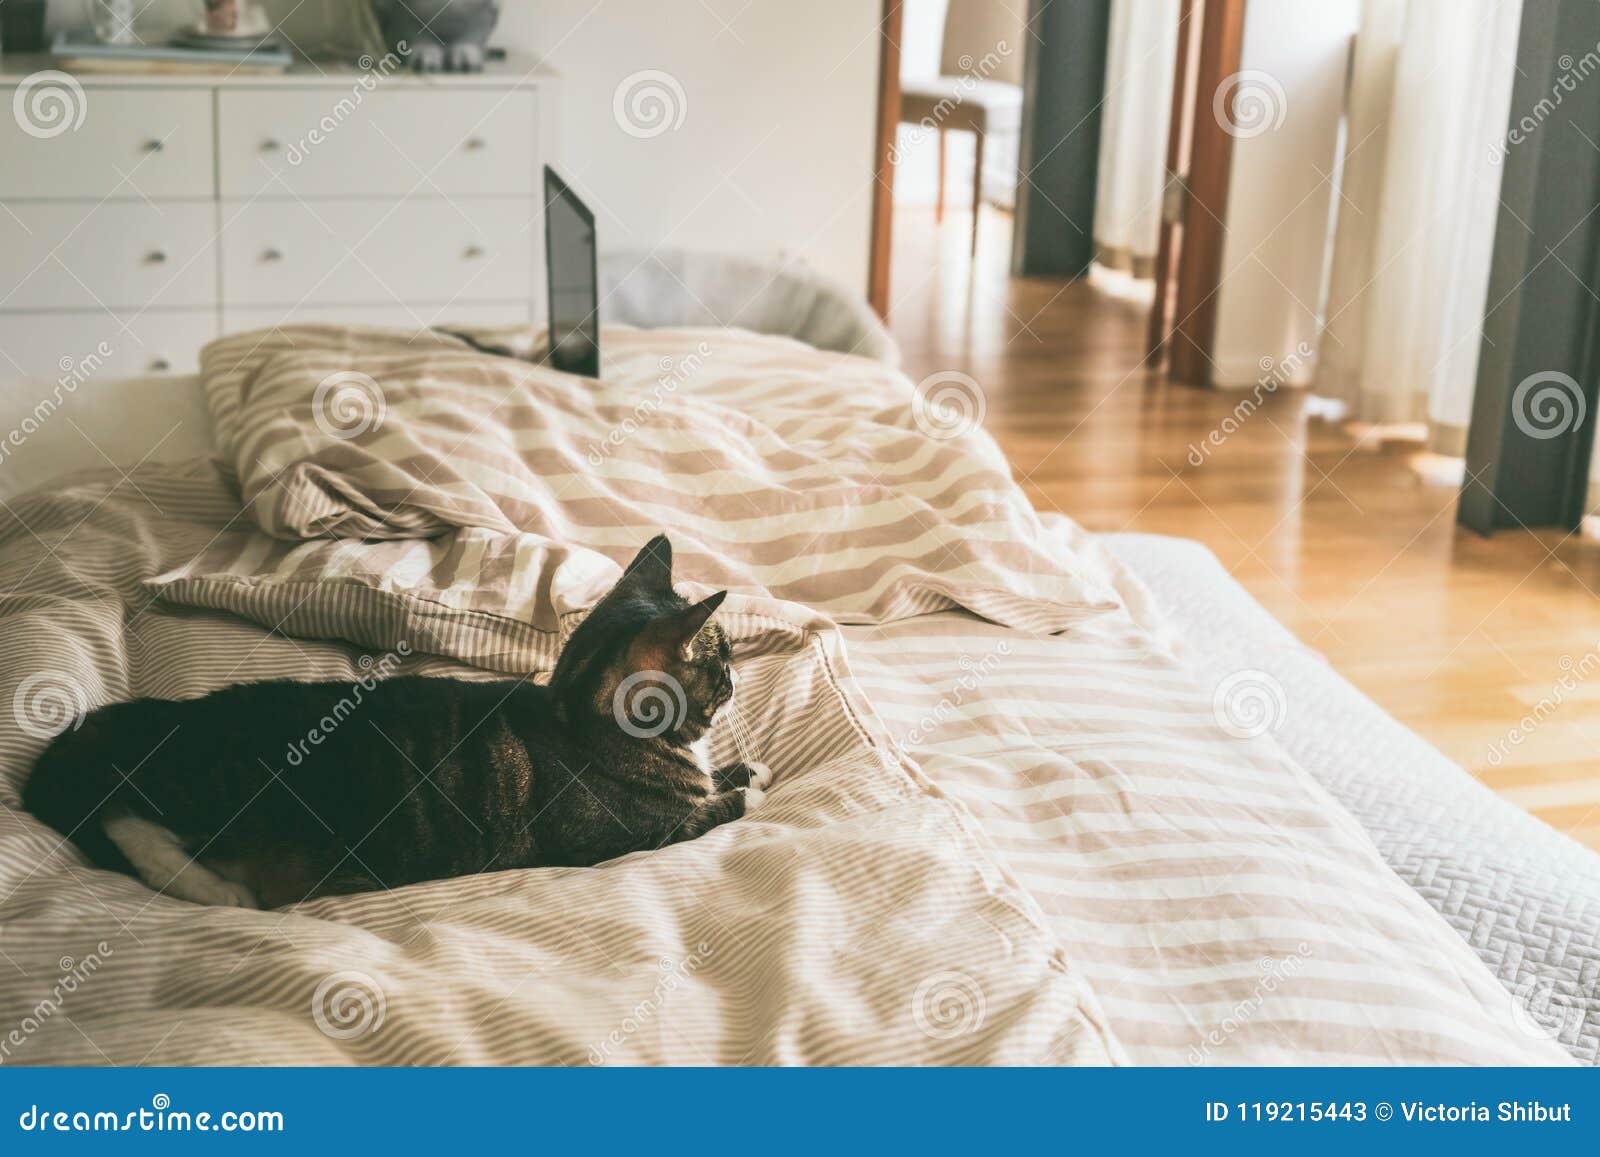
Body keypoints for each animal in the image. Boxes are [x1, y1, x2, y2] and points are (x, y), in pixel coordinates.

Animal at [21, 537, 771, 908]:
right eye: (723, 658)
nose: (738, 677)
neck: (576, 712)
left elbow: (725, 776)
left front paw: (749, 767)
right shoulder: (621, 842)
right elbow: (715, 806)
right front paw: (750, 790)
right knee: (126, 823)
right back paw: (222, 890)